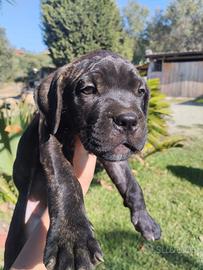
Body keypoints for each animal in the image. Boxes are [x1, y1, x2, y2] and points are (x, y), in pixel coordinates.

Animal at [3, 51, 161, 270]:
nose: (128, 120)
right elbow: (66, 180)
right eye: (88, 90)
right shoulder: (49, 137)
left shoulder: (111, 153)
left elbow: (131, 183)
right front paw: (72, 238)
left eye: (140, 91)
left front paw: (145, 219)